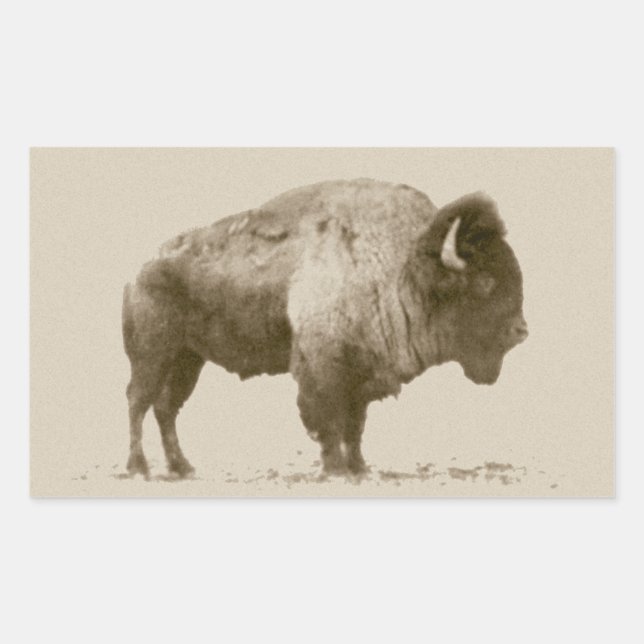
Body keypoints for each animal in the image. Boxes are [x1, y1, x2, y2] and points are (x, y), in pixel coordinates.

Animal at [122, 179, 527, 478]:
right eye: (485, 282)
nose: (521, 331)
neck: (402, 269)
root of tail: (140, 271)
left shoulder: (361, 376)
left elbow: (355, 425)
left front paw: (360, 468)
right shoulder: (323, 369)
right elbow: (329, 421)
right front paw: (336, 470)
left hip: (188, 359)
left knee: (166, 408)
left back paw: (182, 467)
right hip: (153, 355)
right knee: (138, 401)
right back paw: (139, 467)